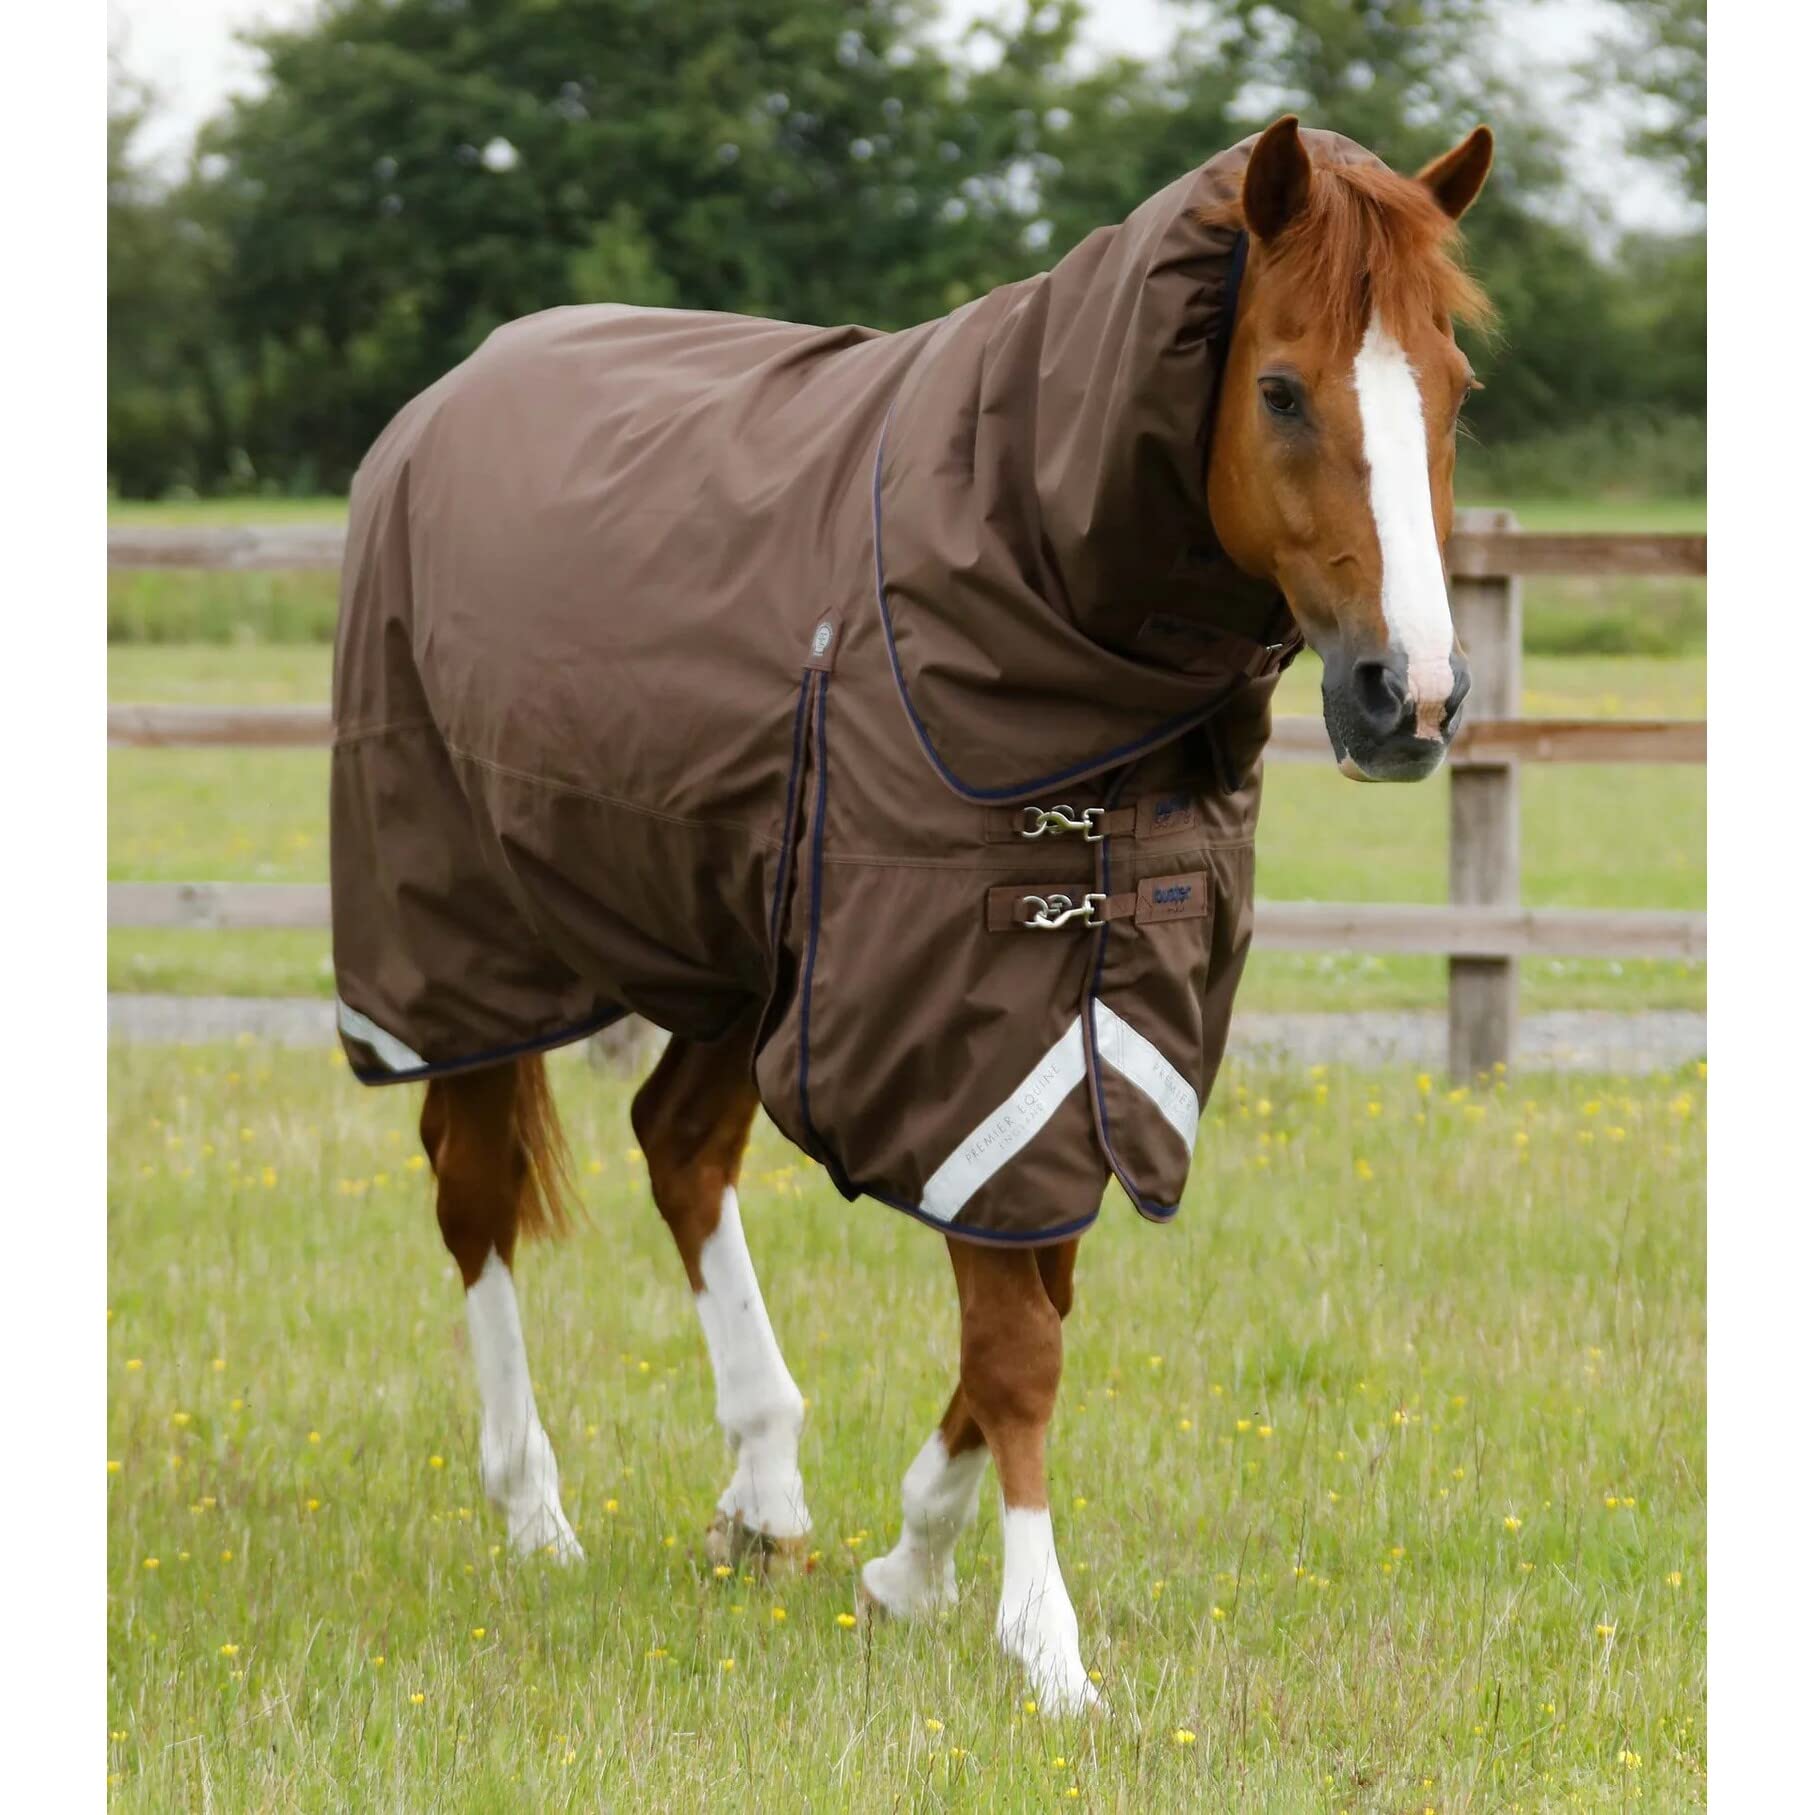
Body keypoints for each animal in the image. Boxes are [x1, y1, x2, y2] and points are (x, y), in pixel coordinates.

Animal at [329, 115, 1494, 1717]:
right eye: (1277, 390)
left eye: (1453, 390)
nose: (1412, 698)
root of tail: (438, 403)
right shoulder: (953, 1015)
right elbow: (1018, 1344)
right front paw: (1047, 1645)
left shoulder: (1090, 1032)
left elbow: (1037, 1299)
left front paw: (907, 1567)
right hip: (456, 938)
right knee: (475, 1189)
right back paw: (536, 1510)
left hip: (742, 954)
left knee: (677, 1148)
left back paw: (762, 1492)